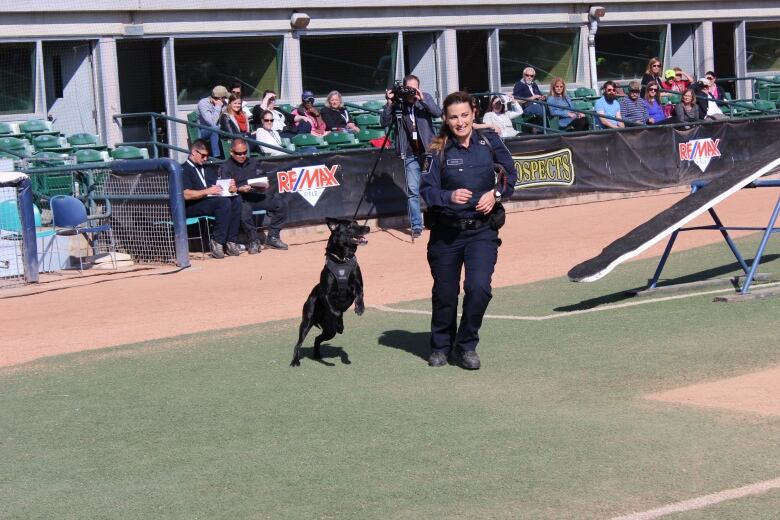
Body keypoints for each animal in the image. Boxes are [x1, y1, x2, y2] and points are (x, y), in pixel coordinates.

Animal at [290, 217, 370, 368]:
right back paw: (295, 361)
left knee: (317, 339)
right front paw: (340, 320)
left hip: (329, 331)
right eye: (350, 226)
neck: (342, 260)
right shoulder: (325, 293)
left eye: (357, 223)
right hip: (307, 322)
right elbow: (335, 310)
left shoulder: (358, 284)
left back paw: (318, 355)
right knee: (298, 344)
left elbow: (360, 294)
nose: (368, 228)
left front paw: (360, 308)